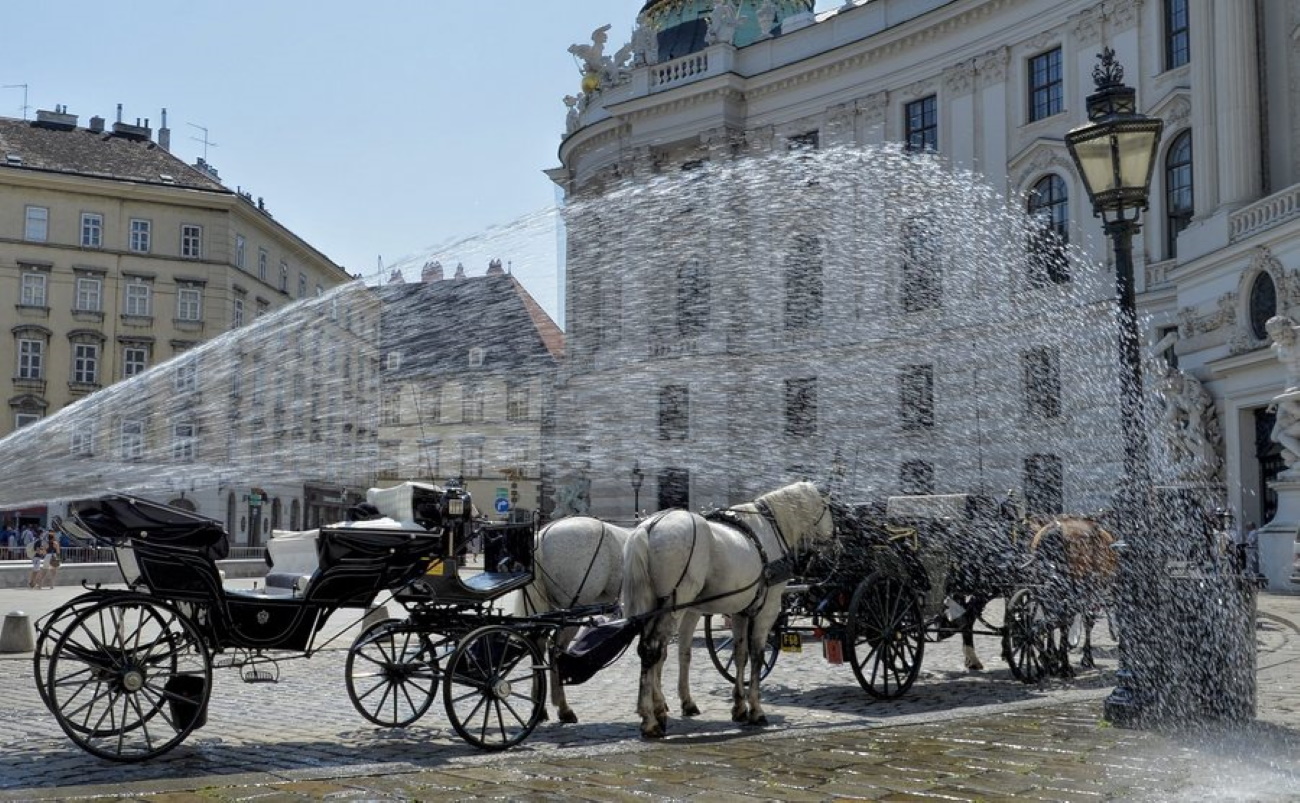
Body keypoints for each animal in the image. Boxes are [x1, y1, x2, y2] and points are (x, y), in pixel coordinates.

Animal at [514, 517, 702, 722]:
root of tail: (543, 533)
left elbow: (664, 654)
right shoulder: (685, 610)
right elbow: (676, 655)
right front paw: (678, 702)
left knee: (539, 646)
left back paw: (541, 708)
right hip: (571, 610)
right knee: (555, 650)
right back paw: (562, 708)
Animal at [621, 478, 832, 732]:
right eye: (829, 508)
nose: (835, 537)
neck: (769, 530)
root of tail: (649, 527)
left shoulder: (740, 611)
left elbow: (740, 655)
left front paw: (739, 707)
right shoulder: (767, 610)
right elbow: (757, 656)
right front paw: (756, 710)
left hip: (652, 606)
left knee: (650, 651)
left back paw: (654, 712)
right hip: (674, 607)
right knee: (654, 650)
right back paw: (651, 719)